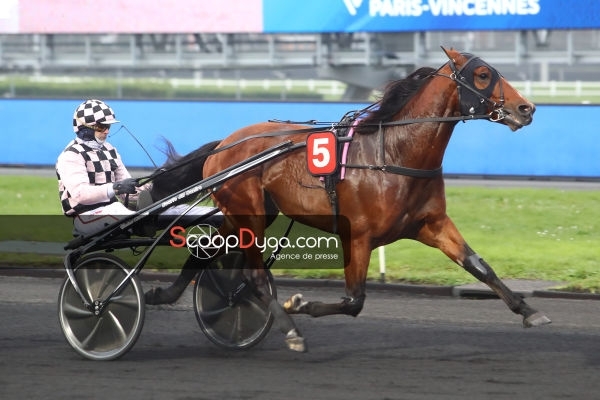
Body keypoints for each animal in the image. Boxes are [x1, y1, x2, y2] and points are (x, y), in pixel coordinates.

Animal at [145, 48, 548, 352]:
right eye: (482, 74)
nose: (527, 109)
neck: (394, 153)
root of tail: (226, 143)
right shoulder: (359, 236)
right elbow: (355, 301)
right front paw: (300, 303)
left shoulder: (431, 225)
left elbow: (479, 266)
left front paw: (530, 311)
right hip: (250, 213)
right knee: (253, 273)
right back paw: (290, 329)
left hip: (245, 213)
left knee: (205, 254)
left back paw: (165, 295)